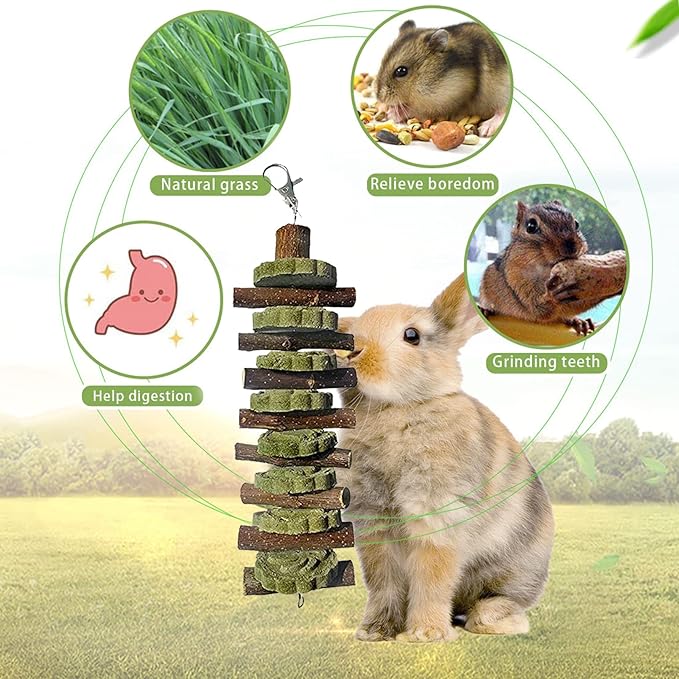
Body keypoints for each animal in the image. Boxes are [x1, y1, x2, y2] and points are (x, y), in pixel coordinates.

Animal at [336, 274, 554, 642]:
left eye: (412, 335)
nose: (351, 351)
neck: (396, 409)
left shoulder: (436, 511)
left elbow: (432, 575)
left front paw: (424, 634)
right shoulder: (374, 522)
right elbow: (382, 581)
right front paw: (374, 631)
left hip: (509, 574)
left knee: (503, 604)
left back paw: (492, 623)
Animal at [375, 20, 510, 136]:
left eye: (401, 71)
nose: (379, 97)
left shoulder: (449, 98)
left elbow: (416, 109)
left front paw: (392, 114)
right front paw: (384, 108)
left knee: (502, 111)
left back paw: (485, 129)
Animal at [479, 200, 596, 334]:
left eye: (576, 224)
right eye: (531, 226)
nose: (571, 247)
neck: (546, 269)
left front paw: (577, 319)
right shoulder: (516, 278)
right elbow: (535, 306)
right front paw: (552, 295)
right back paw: (485, 310)